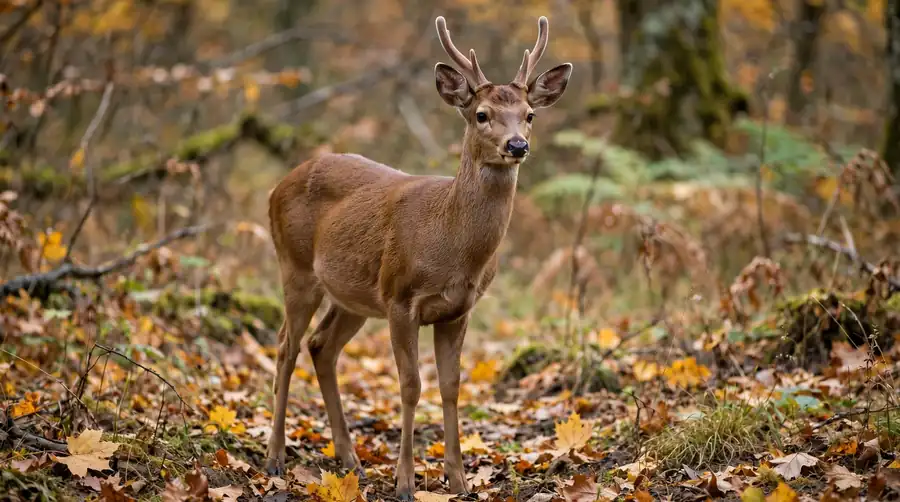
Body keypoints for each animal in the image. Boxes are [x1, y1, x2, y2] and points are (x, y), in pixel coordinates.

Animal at [264, 14, 571, 500]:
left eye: (530, 114)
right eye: (481, 115)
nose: (517, 145)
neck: (452, 244)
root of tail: (276, 188)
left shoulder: (458, 310)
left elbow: (451, 386)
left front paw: (458, 478)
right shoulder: (400, 298)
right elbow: (410, 385)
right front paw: (405, 482)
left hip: (353, 296)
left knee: (320, 346)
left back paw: (350, 459)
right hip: (296, 268)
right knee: (285, 347)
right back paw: (275, 458)